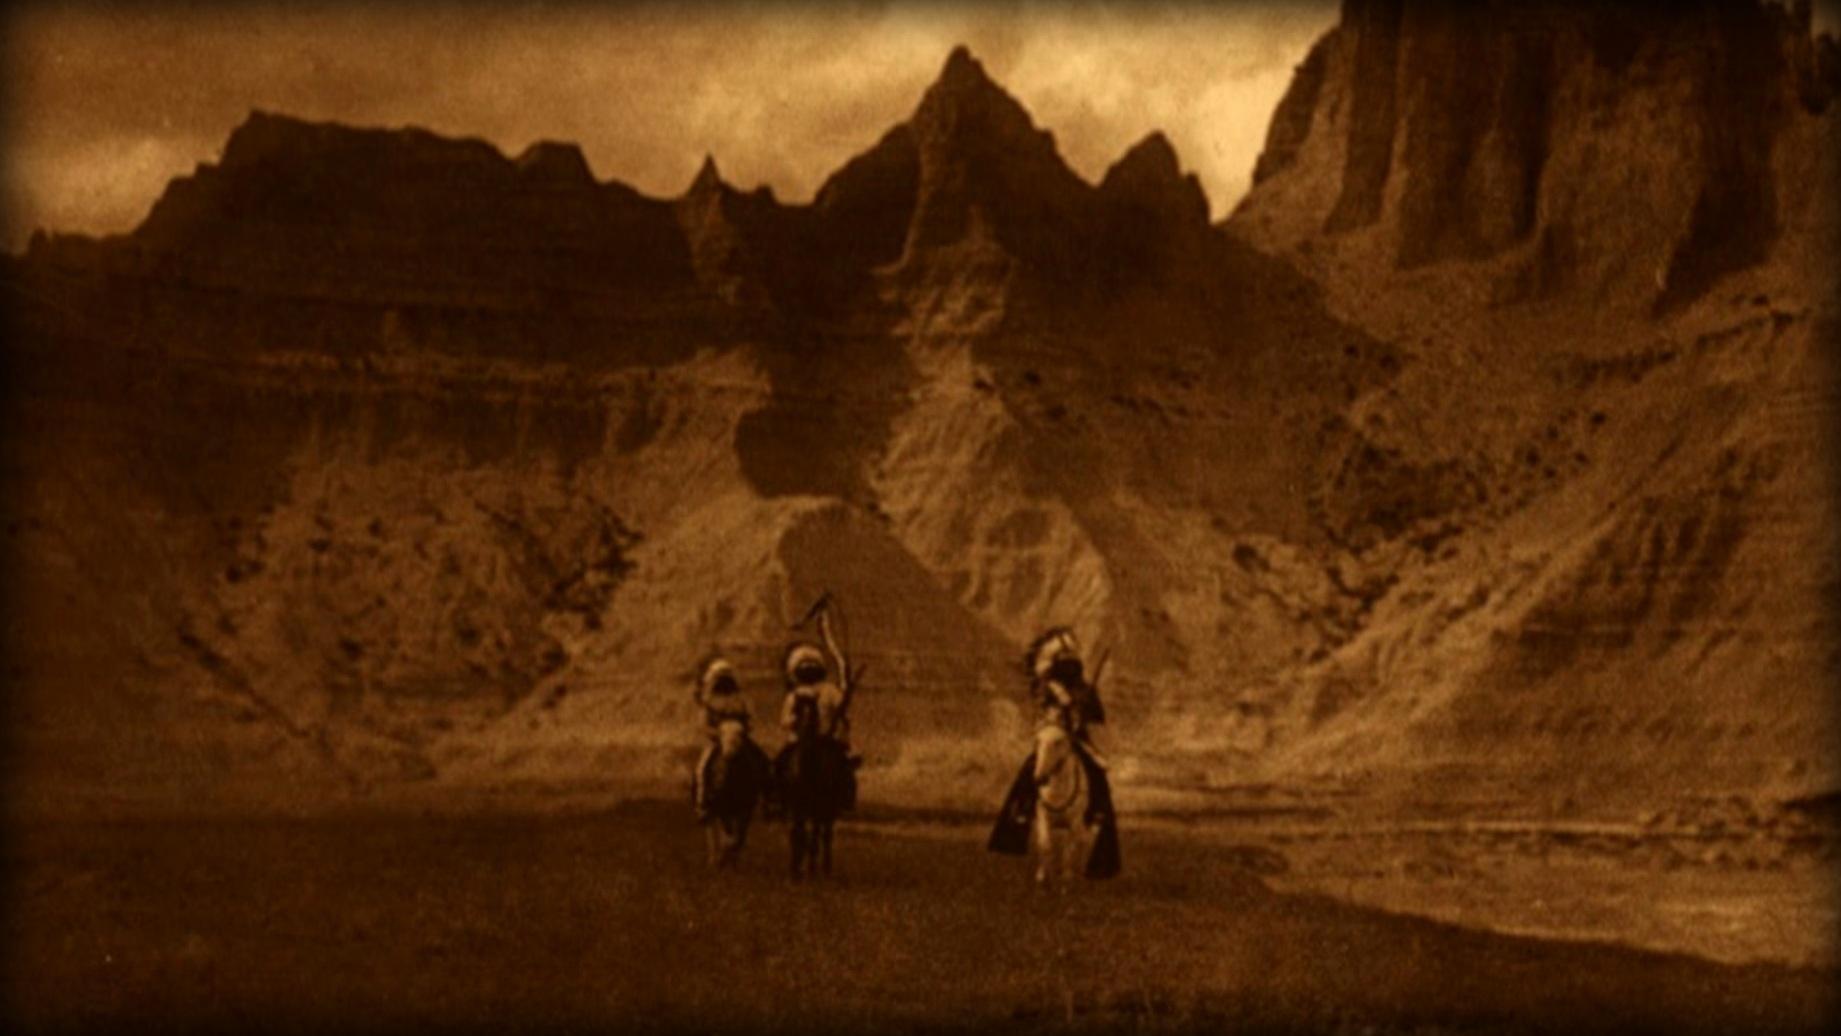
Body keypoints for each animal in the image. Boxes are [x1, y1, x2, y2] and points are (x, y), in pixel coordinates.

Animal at [695, 725, 769, 872]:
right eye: (721, 734)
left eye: (741, 735)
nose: (730, 753)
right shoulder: (723, 809)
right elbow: (727, 837)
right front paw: (722, 859)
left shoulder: (745, 809)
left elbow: (738, 837)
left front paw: (732, 861)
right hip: (712, 811)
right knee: (712, 832)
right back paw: (714, 860)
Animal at [1030, 713, 1082, 890]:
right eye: (1037, 741)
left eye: (1058, 741)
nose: (1040, 778)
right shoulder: (1043, 817)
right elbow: (1045, 845)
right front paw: (1046, 879)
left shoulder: (1074, 823)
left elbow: (1070, 850)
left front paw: (1065, 881)